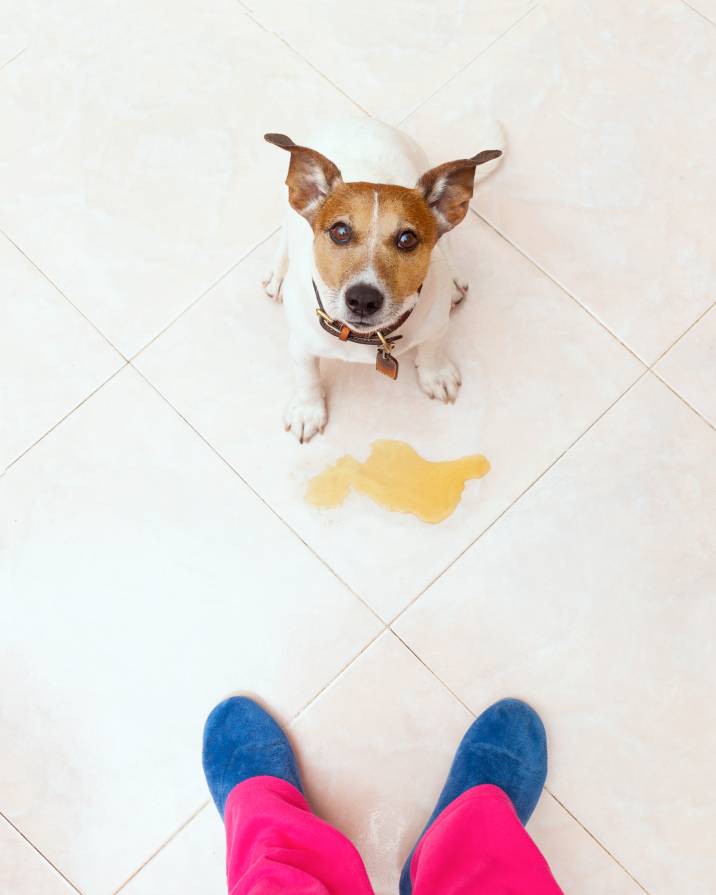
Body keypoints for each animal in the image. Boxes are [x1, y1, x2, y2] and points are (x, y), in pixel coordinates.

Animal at [262, 118, 504, 440]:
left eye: (407, 239)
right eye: (340, 232)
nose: (363, 299)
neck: (366, 337)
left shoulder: (437, 325)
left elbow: (433, 349)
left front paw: (435, 374)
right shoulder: (301, 345)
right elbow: (307, 377)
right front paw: (307, 410)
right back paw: (277, 272)